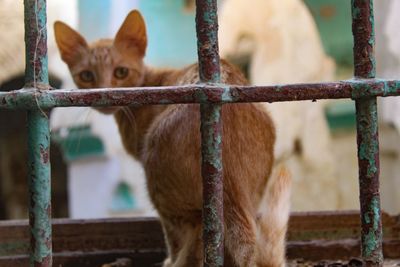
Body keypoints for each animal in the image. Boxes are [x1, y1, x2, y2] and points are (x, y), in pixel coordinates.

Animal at [54, 9, 290, 266]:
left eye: (121, 72)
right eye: (86, 76)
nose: (103, 94)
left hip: (159, 179)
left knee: (187, 235)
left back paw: (173, 260)